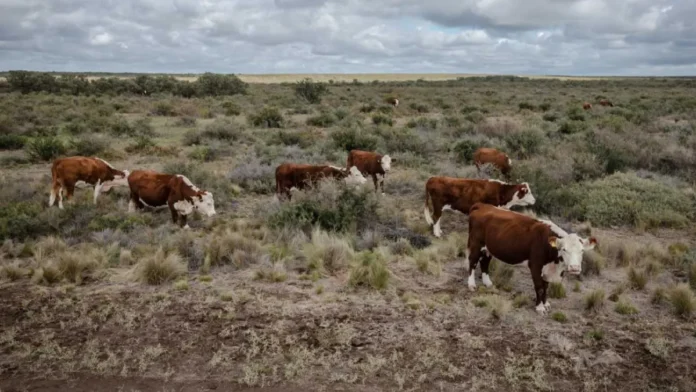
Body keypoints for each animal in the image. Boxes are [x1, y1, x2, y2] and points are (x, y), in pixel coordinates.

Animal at [464, 202, 596, 316]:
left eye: (582, 250)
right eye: (564, 249)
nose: (574, 268)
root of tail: (482, 205)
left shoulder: (547, 269)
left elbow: (546, 287)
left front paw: (545, 304)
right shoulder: (535, 266)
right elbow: (540, 288)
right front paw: (540, 308)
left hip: (488, 248)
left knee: (485, 262)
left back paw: (488, 283)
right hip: (476, 245)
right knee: (472, 262)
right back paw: (471, 285)